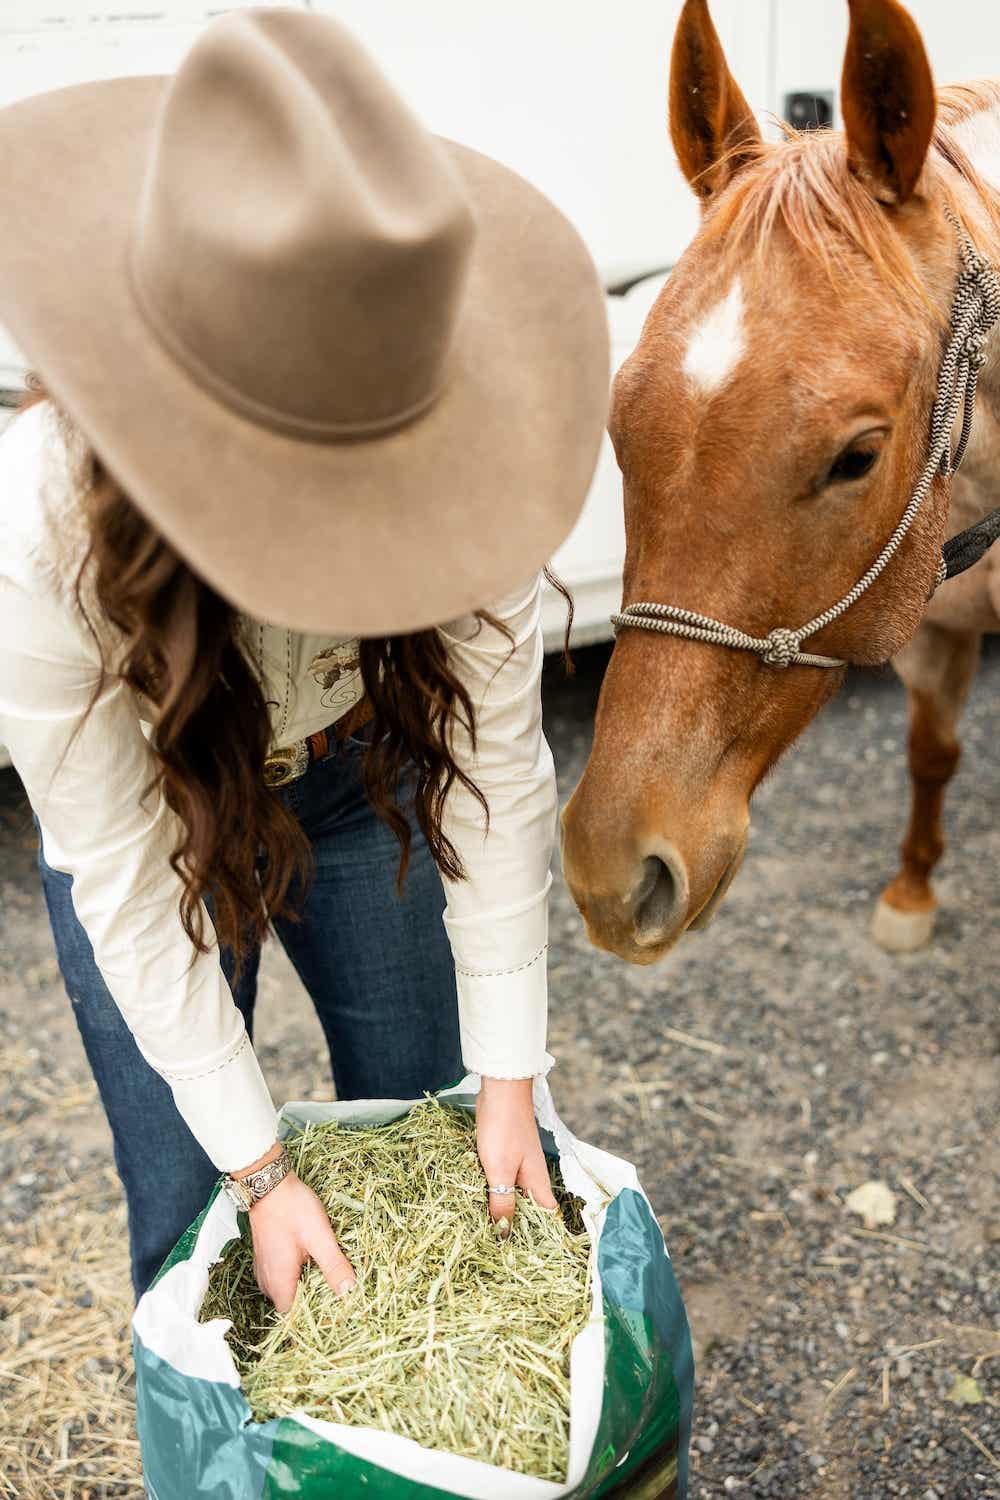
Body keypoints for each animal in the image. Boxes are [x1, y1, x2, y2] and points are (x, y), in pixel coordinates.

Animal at [563, 0, 1000, 960]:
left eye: (858, 456)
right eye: (619, 420)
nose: (614, 873)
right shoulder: (931, 624)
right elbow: (931, 753)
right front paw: (912, 890)